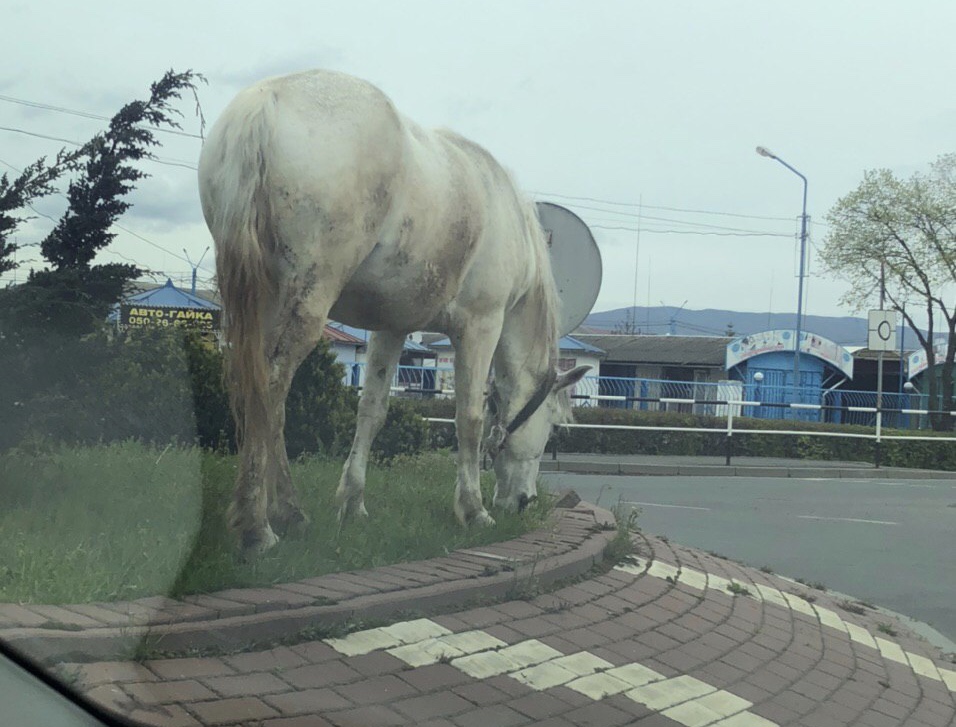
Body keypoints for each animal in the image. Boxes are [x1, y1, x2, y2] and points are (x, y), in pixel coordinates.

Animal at [197, 71, 588, 556]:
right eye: (552, 424)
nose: (524, 500)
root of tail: (266, 99)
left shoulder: (391, 329)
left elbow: (372, 410)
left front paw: (352, 501)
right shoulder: (481, 325)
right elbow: (470, 418)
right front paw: (473, 509)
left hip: (263, 302)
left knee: (263, 393)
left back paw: (288, 511)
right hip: (307, 297)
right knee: (270, 387)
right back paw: (258, 525)